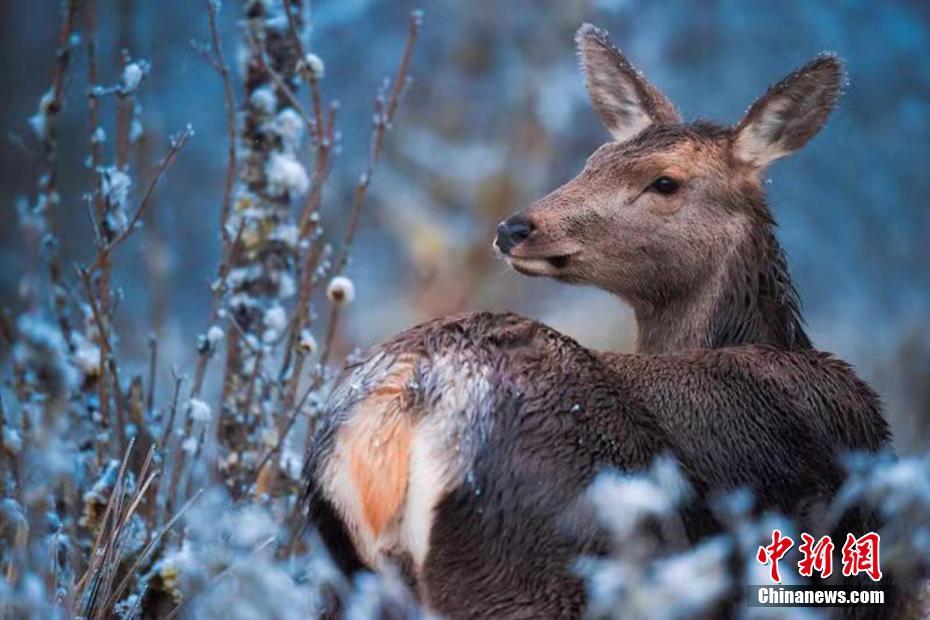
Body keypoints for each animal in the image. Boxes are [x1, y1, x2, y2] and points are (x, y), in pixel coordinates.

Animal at [304, 23, 900, 616]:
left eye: (665, 182)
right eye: (593, 161)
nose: (515, 227)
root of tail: (404, 404)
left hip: (348, 574)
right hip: (532, 556)